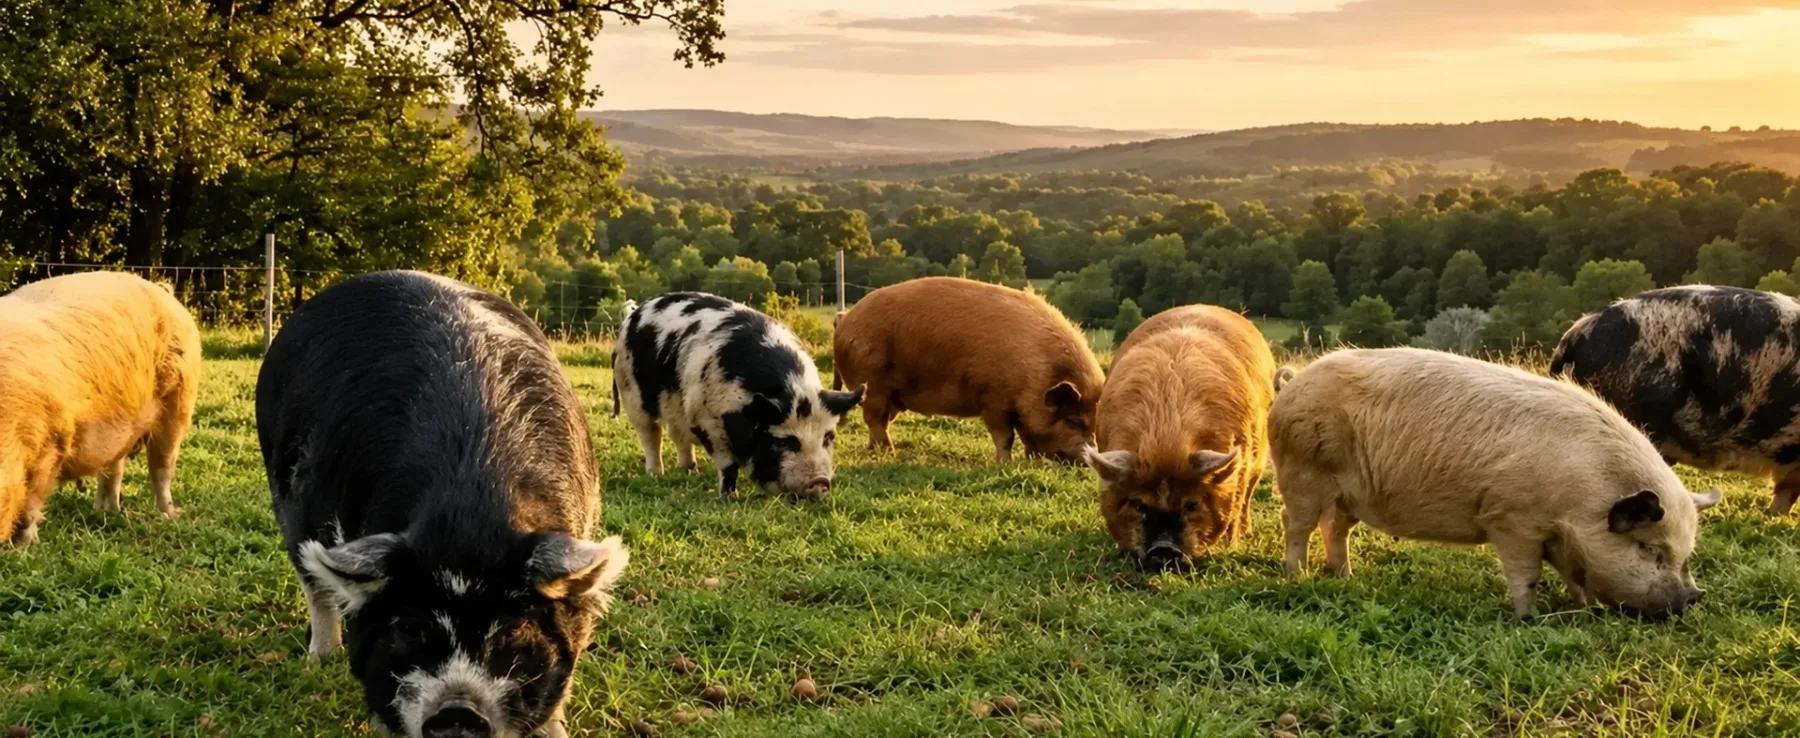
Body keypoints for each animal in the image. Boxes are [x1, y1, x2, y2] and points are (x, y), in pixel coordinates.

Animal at [1, 271, 200, 547]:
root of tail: (163, 292)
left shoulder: (53, 441)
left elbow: (31, 503)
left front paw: (25, 546)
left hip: (180, 401)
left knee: (162, 466)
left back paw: (168, 515)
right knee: (113, 469)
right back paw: (105, 512)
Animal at [257, 271, 627, 738]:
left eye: (512, 633)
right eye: (409, 628)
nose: (457, 710)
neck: (471, 503)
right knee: (316, 589)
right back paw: (317, 662)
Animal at [612, 292, 864, 499]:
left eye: (828, 437)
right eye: (785, 441)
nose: (819, 481)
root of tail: (634, 314)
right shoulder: (710, 422)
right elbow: (728, 466)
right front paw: (729, 497)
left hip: (675, 406)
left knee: (678, 435)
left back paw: (690, 470)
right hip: (631, 393)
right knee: (650, 434)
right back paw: (656, 473)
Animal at [833, 277, 1103, 462]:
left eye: (1094, 422)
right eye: (1075, 421)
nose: (1091, 458)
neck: (1035, 373)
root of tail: (845, 322)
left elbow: (1025, 435)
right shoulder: (993, 399)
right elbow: (1005, 436)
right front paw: (1005, 464)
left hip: (894, 395)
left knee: (882, 421)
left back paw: (876, 450)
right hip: (874, 383)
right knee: (874, 418)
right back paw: (889, 453)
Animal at [1270, 348, 1721, 618]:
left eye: (1685, 554)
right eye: (1648, 548)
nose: (1694, 597)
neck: (1580, 499)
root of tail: (1292, 384)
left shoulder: (1557, 535)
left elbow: (1573, 574)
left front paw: (1583, 608)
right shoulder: (1512, 519)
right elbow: (1527, 573)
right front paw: (1530, 617)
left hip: (1349, 495)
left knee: (1335, 528)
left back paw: (1345, 577)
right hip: (1301, 473)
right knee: (1295, 523)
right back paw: (1297, 578)